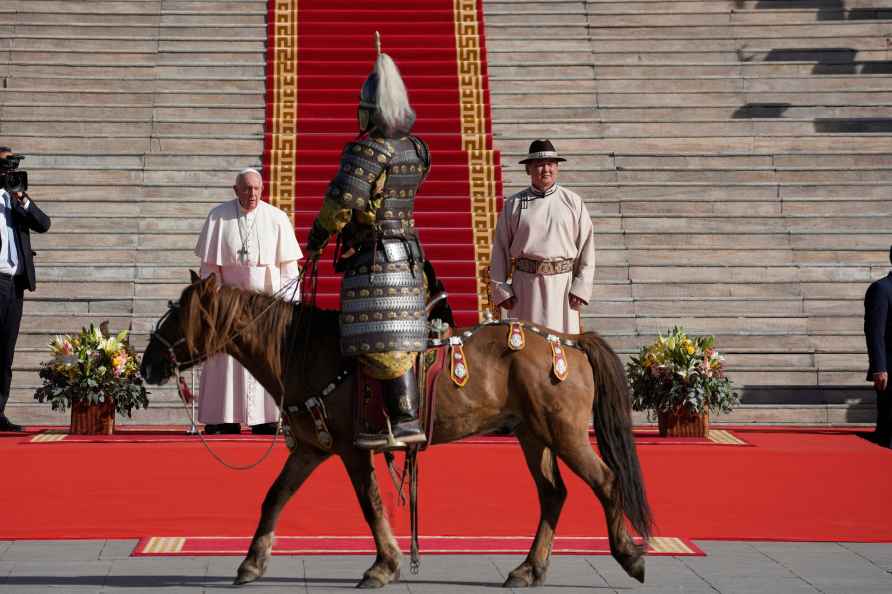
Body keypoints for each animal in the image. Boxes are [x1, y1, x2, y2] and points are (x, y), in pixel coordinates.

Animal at [141, 274, 656, 588]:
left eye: (177, 316)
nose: (147, 364)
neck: (306, 351)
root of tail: (568, 340)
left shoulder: (351, 449)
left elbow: (369, 503)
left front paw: (384, 565)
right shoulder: (310, 448)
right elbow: (275, 497)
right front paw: (252, 561)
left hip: (563, 433)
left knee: (605, 481)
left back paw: (629, 556)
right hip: (533, 435)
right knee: (553, 495)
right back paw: (529, 568)